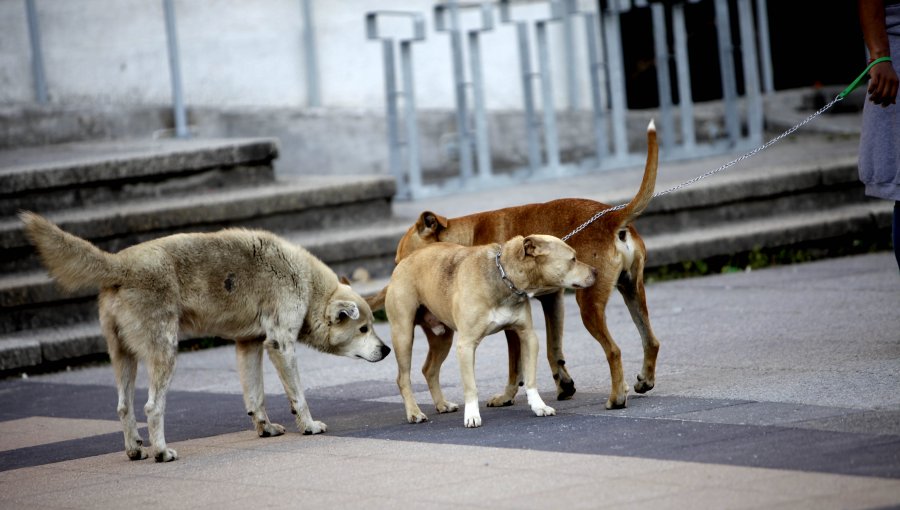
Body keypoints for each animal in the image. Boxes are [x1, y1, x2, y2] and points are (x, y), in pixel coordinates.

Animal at [19, 211, 388, 462]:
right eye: (363, 328)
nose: (385, 350)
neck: (307, 285)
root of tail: (119, 263)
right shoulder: (280, 345)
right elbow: (298, 395)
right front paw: (308, 426)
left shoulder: (249, 345)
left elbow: (255, 397)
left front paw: (265, 428)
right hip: (165, 353)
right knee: (152, 407)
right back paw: (162, 452)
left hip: (123, 356)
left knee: (124, 407)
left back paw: (136, 450)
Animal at [384, 234, 596, 426]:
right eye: (573, 259)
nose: (596, 271)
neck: (505, 277)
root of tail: (403, 261)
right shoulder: (466, 345)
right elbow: (471, 386)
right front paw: (472, 415)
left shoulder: (528, 336)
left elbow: (530, 379)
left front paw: (538, 406)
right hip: (403, 335)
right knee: (403, 378)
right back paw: (414, 412)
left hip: (443, 339)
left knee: (429, 370)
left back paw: (442, 404)